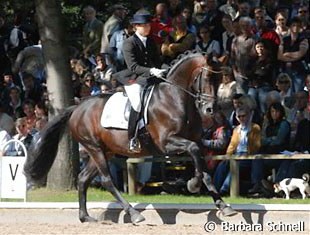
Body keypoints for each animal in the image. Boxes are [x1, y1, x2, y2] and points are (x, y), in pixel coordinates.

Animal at [24, 50, 236, 223]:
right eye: (207, 77)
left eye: (221, 80)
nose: (210, 109)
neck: (175, 98)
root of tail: (77, 107)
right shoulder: (167, 143)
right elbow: (194, 151)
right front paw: (193, 184)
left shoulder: (193, 143)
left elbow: (204, 167)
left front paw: (224, 206)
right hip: (94, 148)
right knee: (106, 180)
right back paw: (133, 214)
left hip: (105, 150)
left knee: (83, 178)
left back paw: (85, 217)